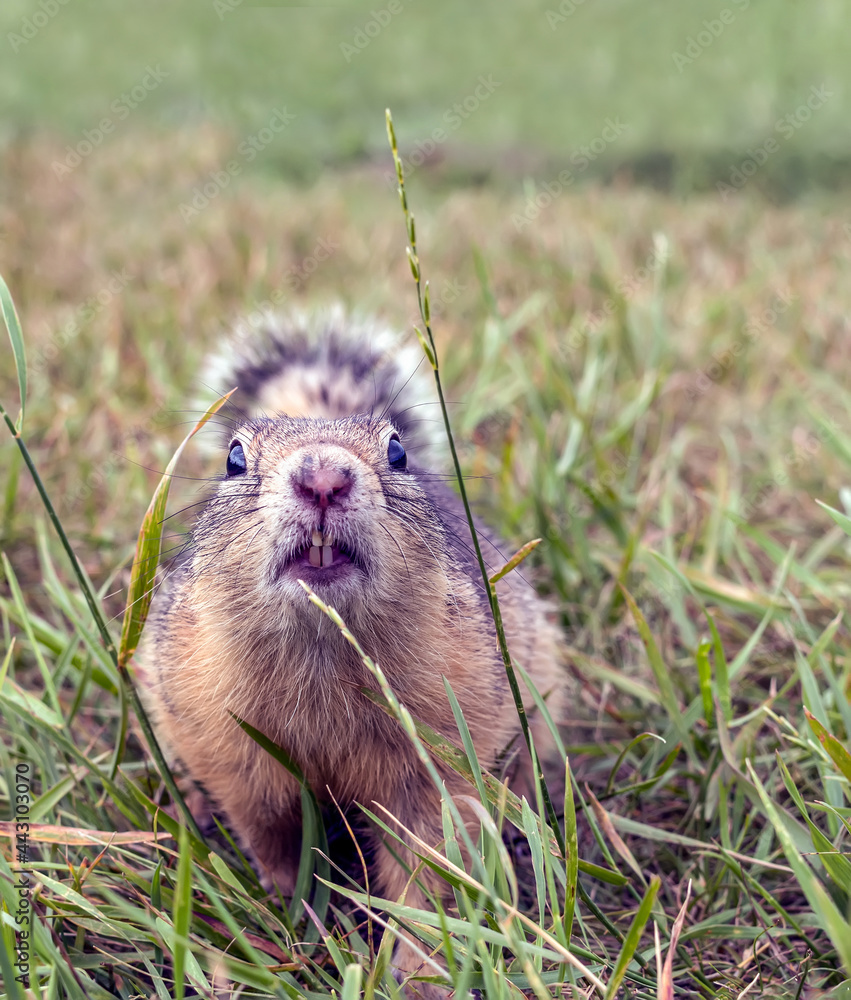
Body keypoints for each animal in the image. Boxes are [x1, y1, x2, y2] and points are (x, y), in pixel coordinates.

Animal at [136, 308, 564, 988]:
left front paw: (419, 969)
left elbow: (427, 861)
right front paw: (289, 903)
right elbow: (269, 830)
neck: (324, 654)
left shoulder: (437, 753)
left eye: (398, 450)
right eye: (233, 456)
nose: (323, 477)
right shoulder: (230, 746)